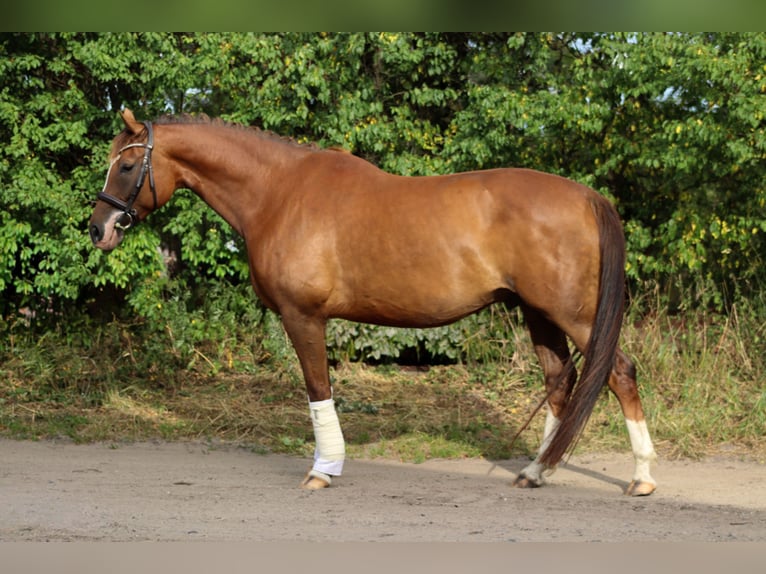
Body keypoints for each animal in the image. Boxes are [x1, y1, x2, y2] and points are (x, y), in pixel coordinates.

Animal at [89, 109, 657, 496]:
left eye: (128, 164)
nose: (99, 229)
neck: (278, 193)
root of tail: (588, 197)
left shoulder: (303, 317)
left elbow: (318, 391)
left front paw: (323, 470)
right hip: (538, 313)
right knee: (560, 383)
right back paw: (536, 471)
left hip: (574, 314)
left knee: (619, 371)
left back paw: (642, 478)